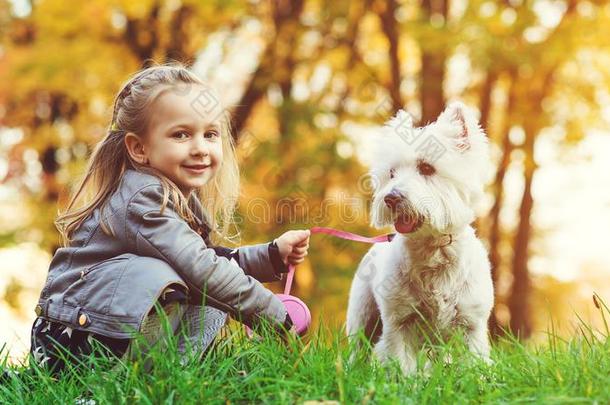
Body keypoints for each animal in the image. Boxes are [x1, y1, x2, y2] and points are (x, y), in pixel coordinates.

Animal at [344, 102, 492, 372]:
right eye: (391, 173)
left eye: (426, 168)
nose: (390, 198)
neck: (433, 249)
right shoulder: (399, 321)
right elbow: (403, 365)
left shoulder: (471, 324)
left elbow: (473, 363)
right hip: (363, 314)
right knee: (358, 347)